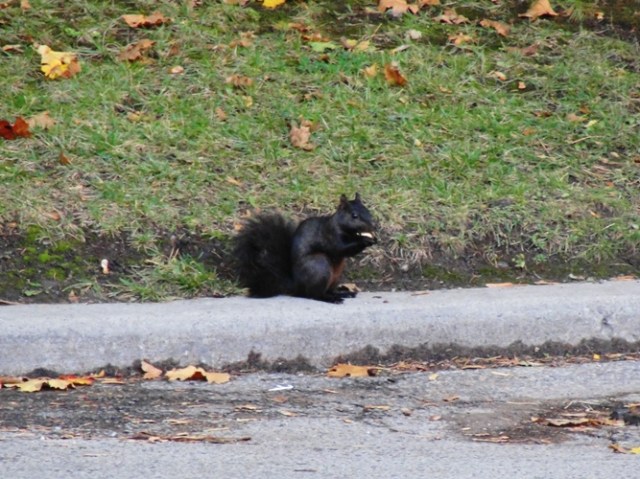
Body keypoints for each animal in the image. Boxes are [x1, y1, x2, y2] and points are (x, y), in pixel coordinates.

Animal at [232, 193, 377, 303]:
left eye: (368, 211)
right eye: (354, 215)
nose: (373, 226)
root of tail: (297, 287)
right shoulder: (330, 236)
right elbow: (341, 248)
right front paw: (365, 240)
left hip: (336, 274)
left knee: (327, 290)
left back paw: (341, 293)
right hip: (319, 265)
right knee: (314, 294)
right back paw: (330, 299)